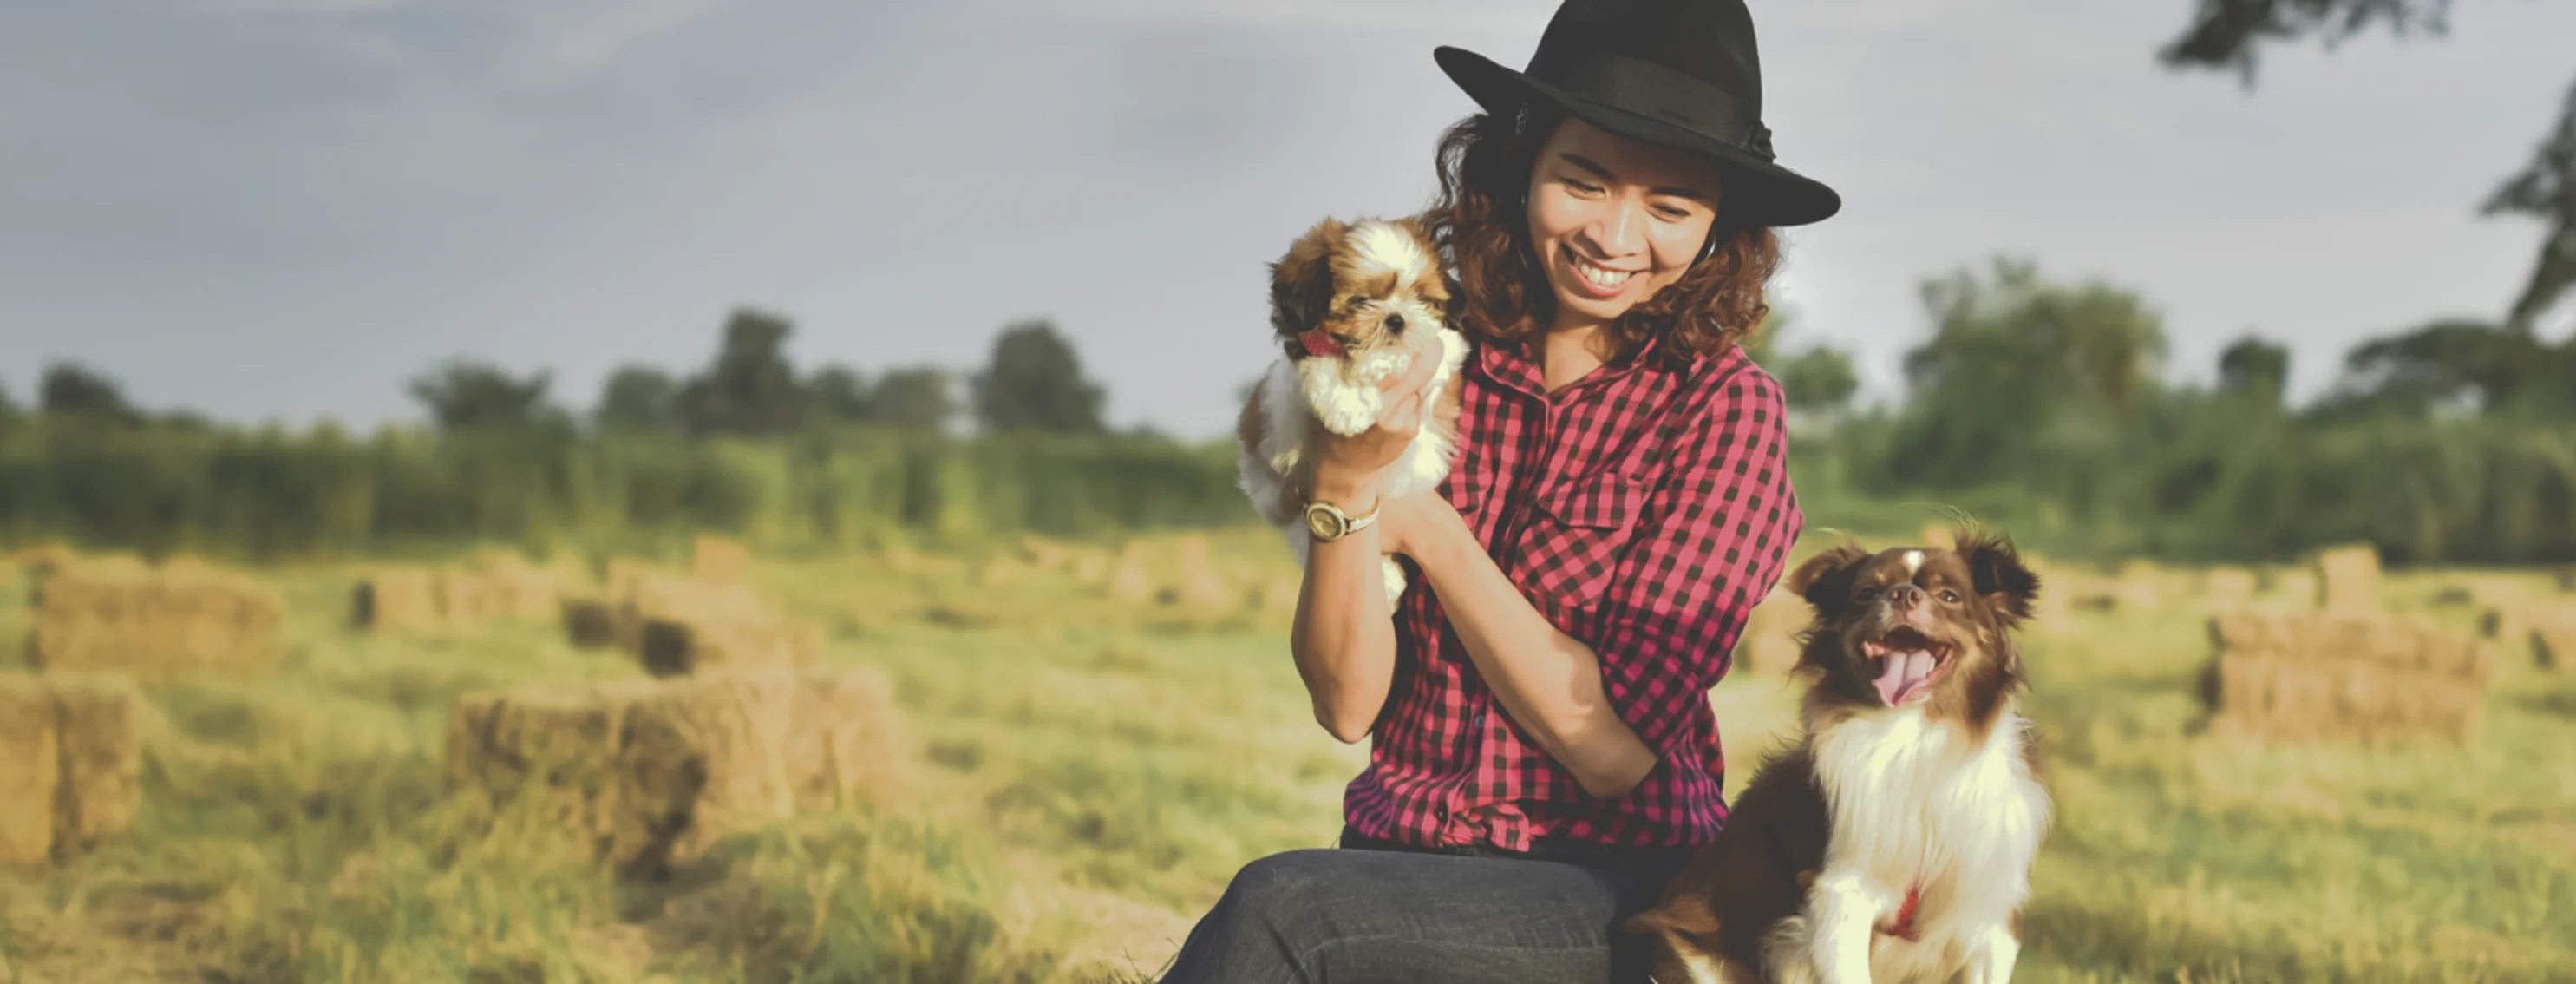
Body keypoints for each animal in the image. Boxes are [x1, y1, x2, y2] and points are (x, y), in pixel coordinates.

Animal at [1246, 216, 1473, 602]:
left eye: (1420, 299)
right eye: (1361, 300)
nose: (1397, 319)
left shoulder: (1443, 347)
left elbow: (1430, 346)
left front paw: (1374, 366)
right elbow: (1318, 361)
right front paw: (1347, 405)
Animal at [1628, 530, 2050, 984]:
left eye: (1950, 596)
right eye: (1867, 593)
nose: (1903, 594)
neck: (1915, 734)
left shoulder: (1991, 917)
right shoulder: (1842, 894)